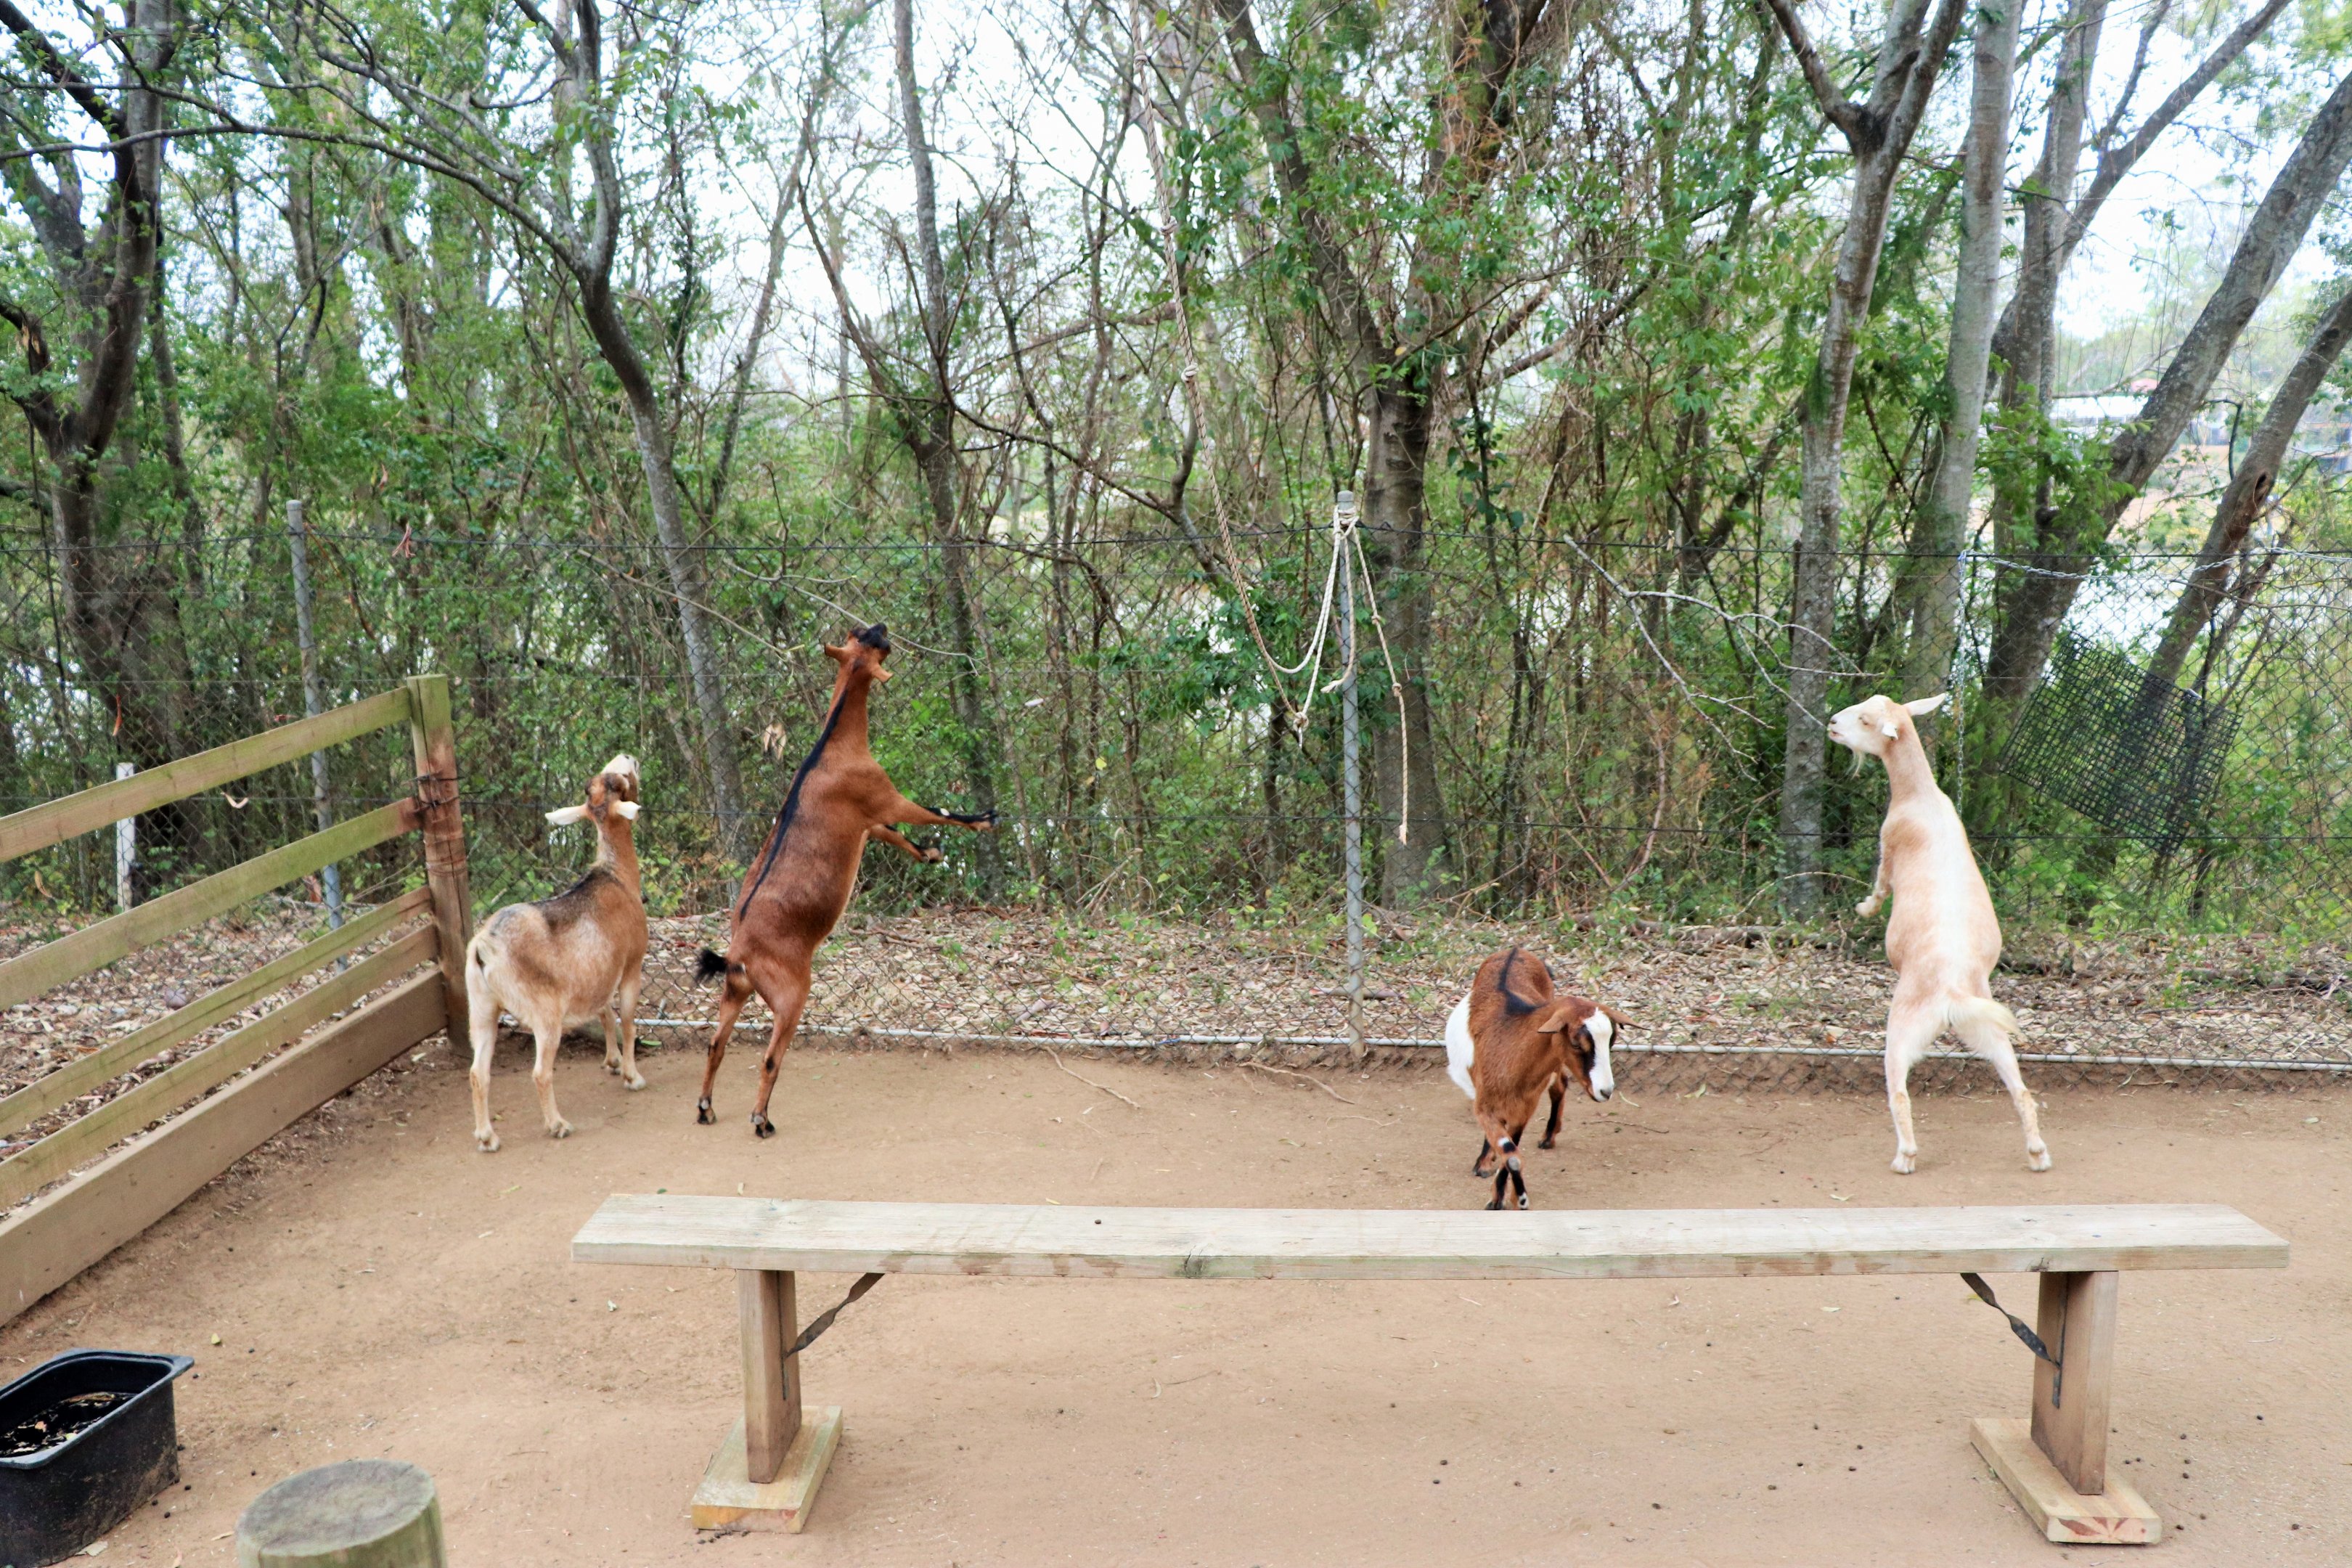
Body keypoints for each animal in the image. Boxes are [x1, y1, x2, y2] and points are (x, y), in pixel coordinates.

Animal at [465, 754, 646, 1152]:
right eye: (619, 781)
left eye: (605, 780)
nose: (628, 757)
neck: (616, 878)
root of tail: (485, 946)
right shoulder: (631, 965)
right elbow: (626, 1018)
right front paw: (632, 1076)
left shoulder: (598, 975)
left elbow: (604, 1014)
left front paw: (612, 1063)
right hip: (545, 1015)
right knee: (540, 1073)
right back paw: (557, 1125)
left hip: (482, 1009)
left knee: (477, 1072)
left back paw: (487, 1137)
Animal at [694, 624, 994, 1136]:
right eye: (870, 642)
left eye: (858, 634)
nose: (883, 629)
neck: (833, 747)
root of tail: (738, 954)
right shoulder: (884, 795)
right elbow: (936, 811)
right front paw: (983, 821)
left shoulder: (870, 821)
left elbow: (899, 837)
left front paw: (931, 854)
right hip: (790, 994)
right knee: (770, 1058)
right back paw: (761, 1120)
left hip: (735, 992)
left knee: (716, 1044)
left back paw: (706, 1108)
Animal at [1443, 947, 1626, 1209]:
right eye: (1576, 1043)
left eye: (1611, 1042)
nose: (1606, 1091)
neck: (1510, 1052)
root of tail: (1515, 950)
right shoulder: (1484, 1107)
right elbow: (1510, 1154)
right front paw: (1512, 1198)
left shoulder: (1524, 1109)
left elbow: (1512, 1154)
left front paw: (1506, 1197)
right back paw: (1484, 1163)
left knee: (1559, 1085)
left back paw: (1548, 1138)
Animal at [1831, 692, 2050, 1175]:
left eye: (1866, 719)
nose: (1833, 723)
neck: (1922, 798)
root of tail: (1951, 995)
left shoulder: (1888, 847)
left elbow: (1880, 886)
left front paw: (1862, 909)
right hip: (1990, 1029)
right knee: (2023, 1091)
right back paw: (2038, 1154)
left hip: (1902, 1030)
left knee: (1899, 1092)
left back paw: (1904, 1157)